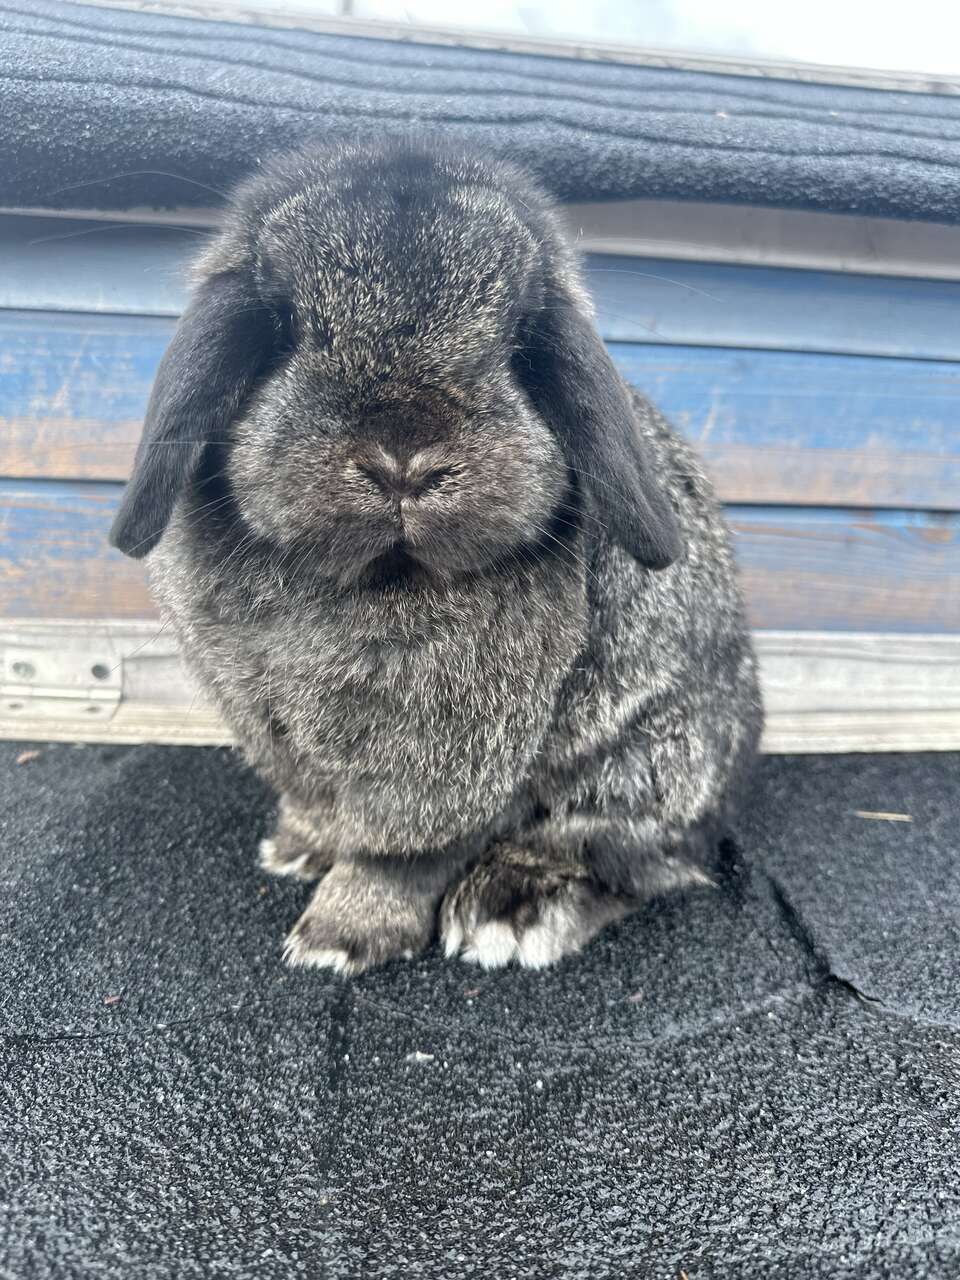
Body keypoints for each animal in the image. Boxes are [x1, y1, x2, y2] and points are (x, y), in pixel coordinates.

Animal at [108, 140, 762, 972]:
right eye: (280, 326)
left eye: (518, 341)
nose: (403, 460)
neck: (379, 582)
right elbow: (320, 808)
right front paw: (297, 849)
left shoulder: (443, 768)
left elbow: (397, 856)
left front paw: (338, 938)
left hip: (644, 767)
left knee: (632, 860)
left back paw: (511, 910)